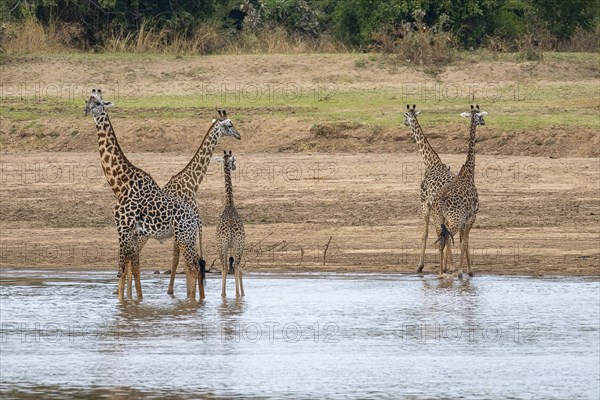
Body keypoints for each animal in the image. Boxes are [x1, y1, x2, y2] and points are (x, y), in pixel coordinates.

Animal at [83, 88, 206, 300]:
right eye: (86, 100)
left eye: (98, 102)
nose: (86, 110)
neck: (119, 184)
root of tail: (196, 218)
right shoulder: (132, 232)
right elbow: (134, 267)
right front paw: (136, 300)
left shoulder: (122, 228)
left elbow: (123, 267)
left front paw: (123, 300)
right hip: (187, 237)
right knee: (195, 265)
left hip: (184, 236)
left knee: (193, 266)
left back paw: (192, 302)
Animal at [132, 108, 240, 296]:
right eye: (229, 124)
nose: (239, 135)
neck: (192, 183)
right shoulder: (184, 225)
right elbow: (179, 259)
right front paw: (179, 292)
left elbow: (181, 259)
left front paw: (178, 291)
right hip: (143, 235)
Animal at [432, 104, 488, 278]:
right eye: (480, 116)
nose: (484, 122)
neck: (469, 174)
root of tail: (440, 199)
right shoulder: (471, 216)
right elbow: (465, 242)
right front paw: (462, 272)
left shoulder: (465, 219)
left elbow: (465, 241)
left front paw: (467, 270)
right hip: (454, 220)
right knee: (447, 239)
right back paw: (447, 272)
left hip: (438, 220)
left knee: (441, 240)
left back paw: (440, 273)